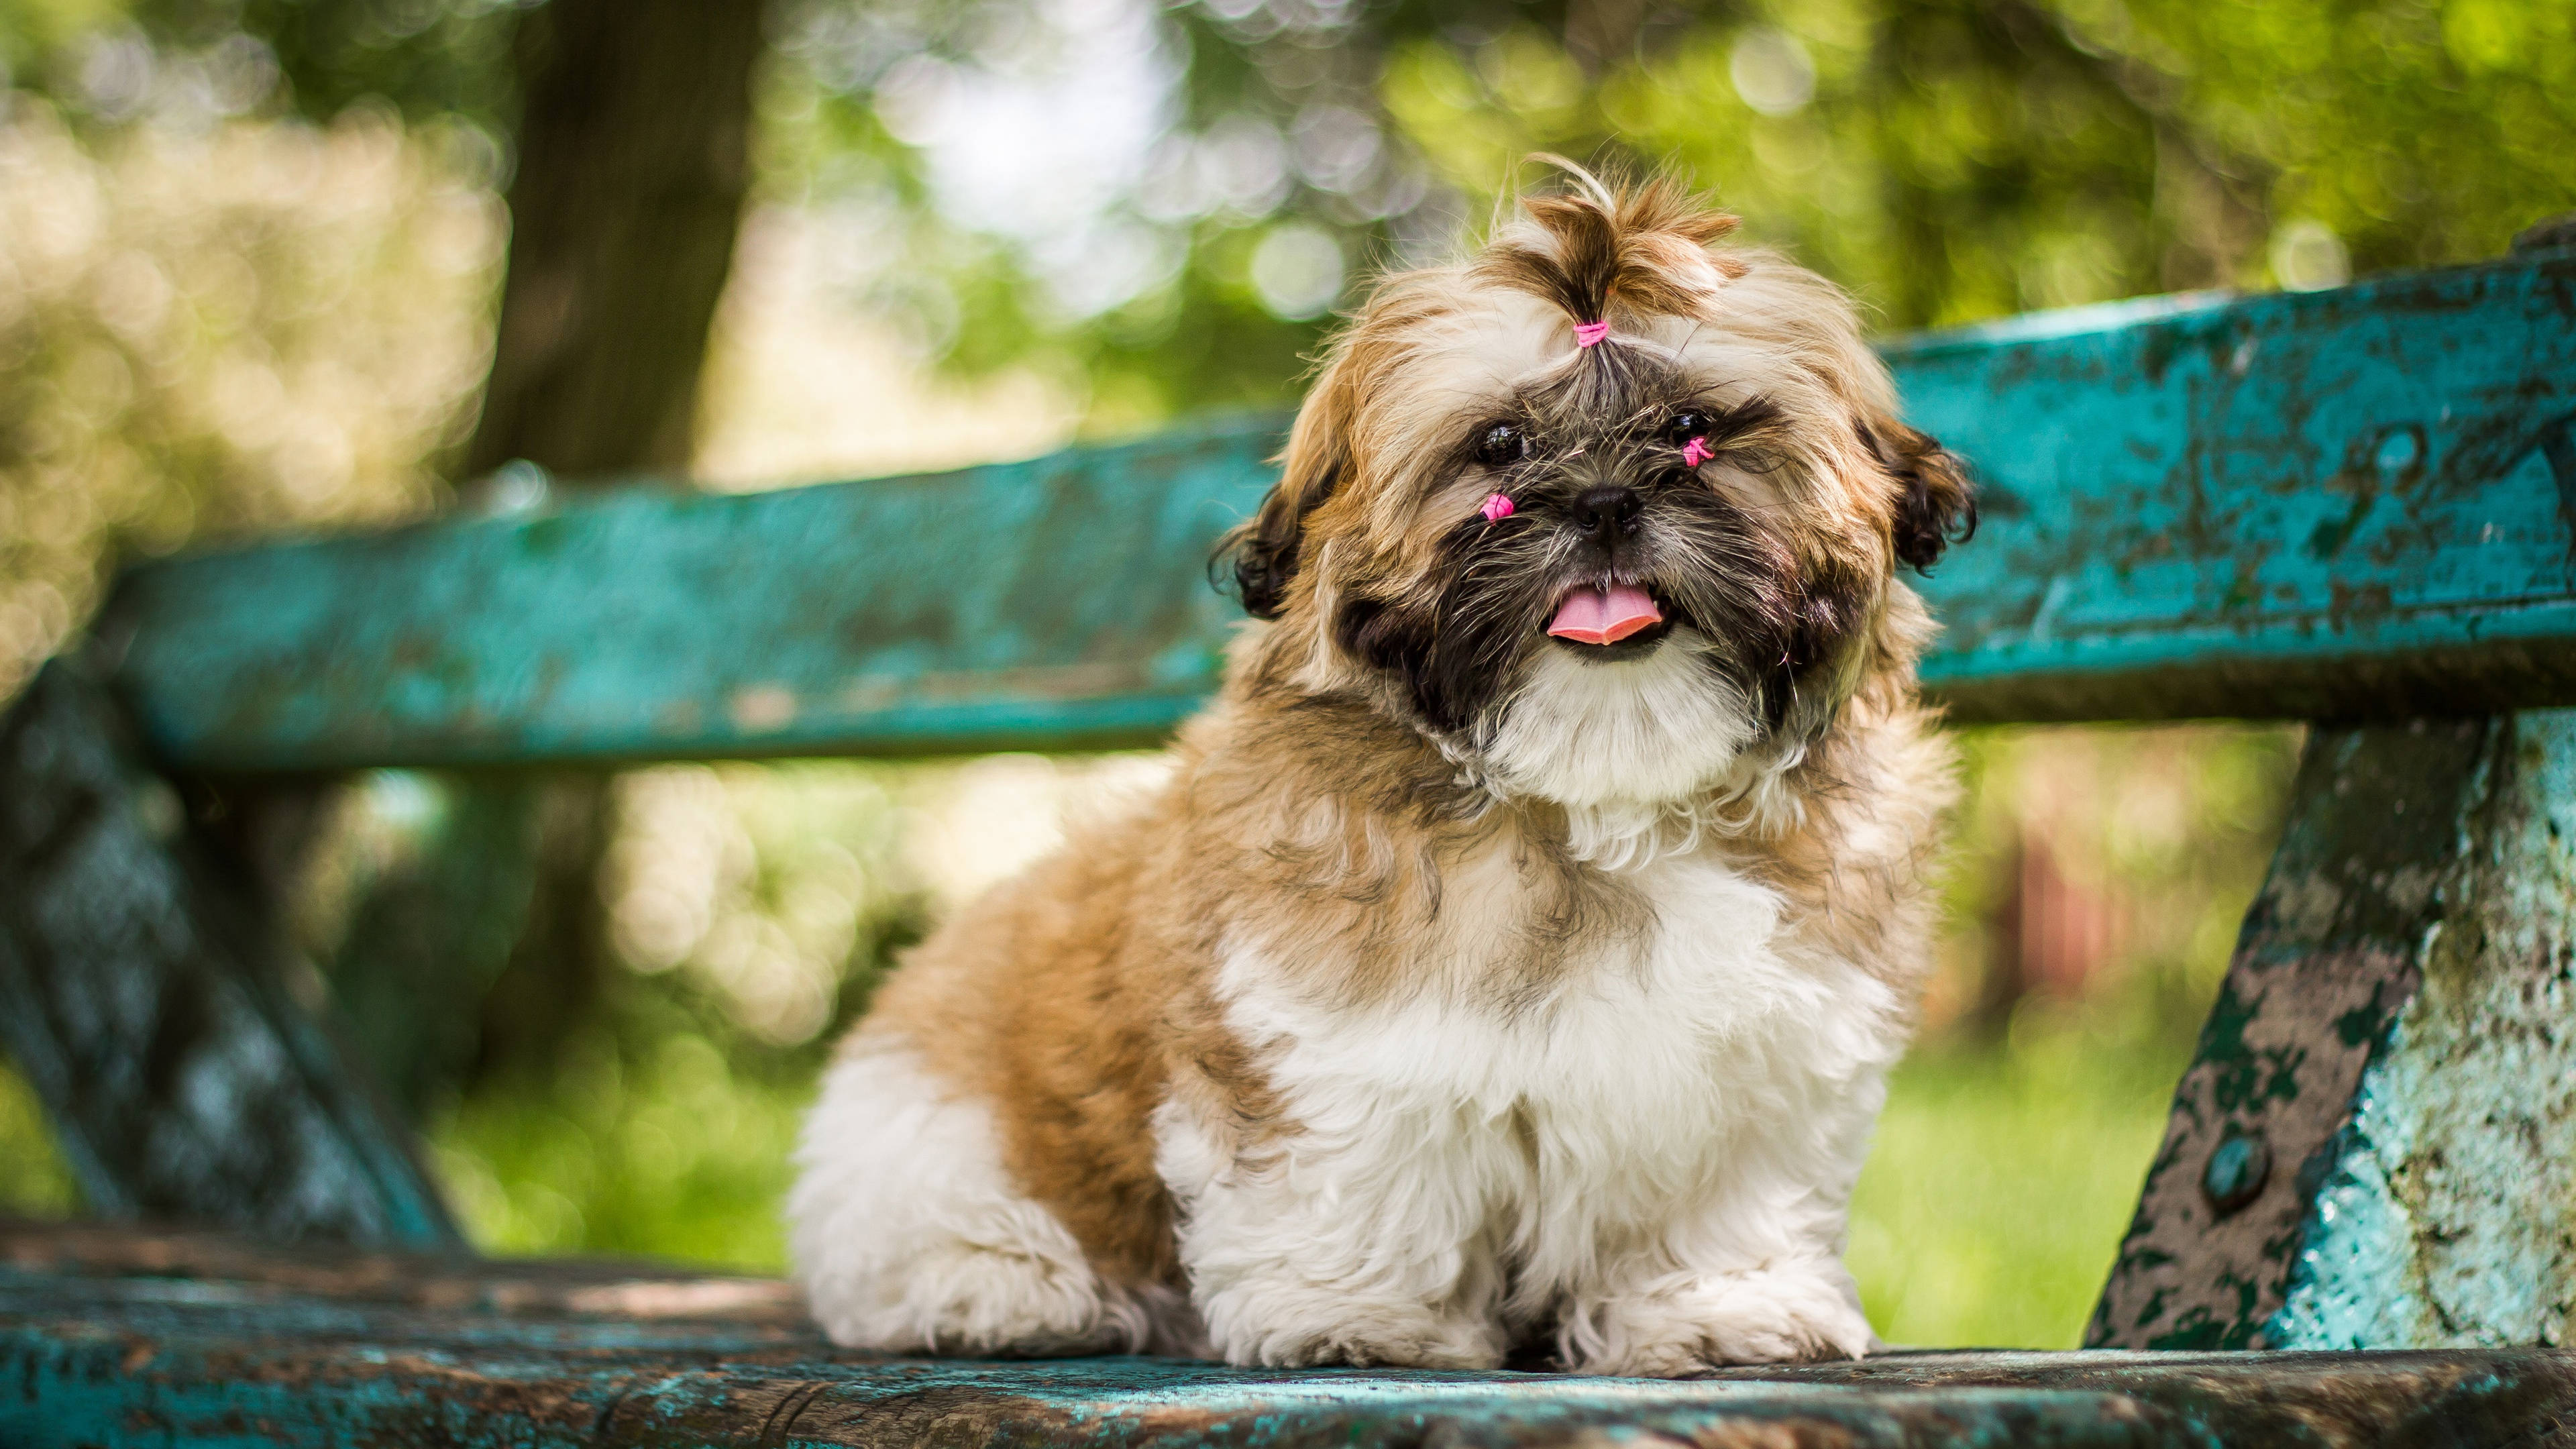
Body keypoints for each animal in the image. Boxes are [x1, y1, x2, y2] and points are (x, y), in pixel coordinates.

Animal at [783, 164, 1968, 1371]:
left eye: (1692, 430)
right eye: (1499, 445)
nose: (1603, 501)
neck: (1596, 791)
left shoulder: (1771, 1058)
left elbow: (1723, 1195)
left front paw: (1721, 1308)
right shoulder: (1319, 1033)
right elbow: (1355, 1172)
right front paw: (1353, 1318)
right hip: (930, 1126)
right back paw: (1002, 1290)